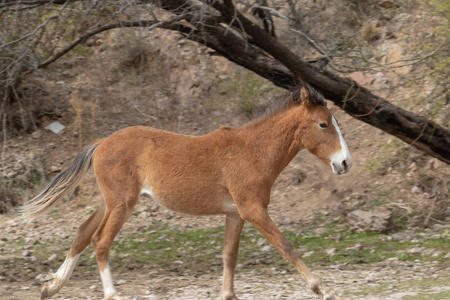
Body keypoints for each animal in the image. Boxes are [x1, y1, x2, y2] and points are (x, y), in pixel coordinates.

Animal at [22, 82, 352, 300]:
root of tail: (101, 143)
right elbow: (287, 247)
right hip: (122, 204)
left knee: (82, 233)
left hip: (110, 202)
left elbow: (229, 255)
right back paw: (111, 294)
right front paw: (322, 289)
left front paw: (228, 295)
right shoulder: (254, 211)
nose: (344, 162)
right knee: (100, 241)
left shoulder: (236, 214)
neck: (253, 151)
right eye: (323, 124)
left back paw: (51, 286)